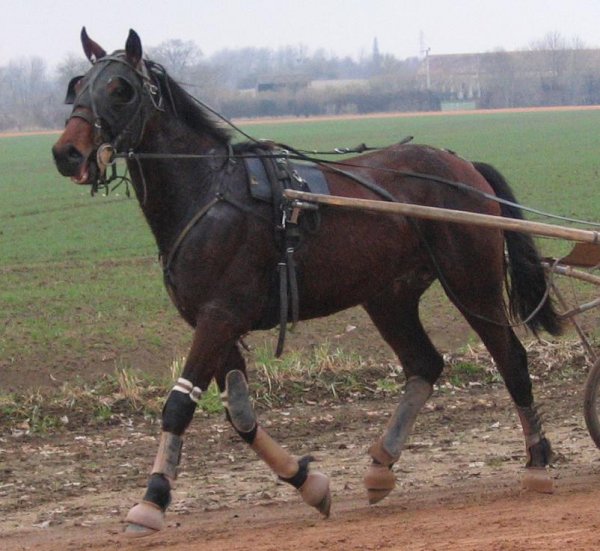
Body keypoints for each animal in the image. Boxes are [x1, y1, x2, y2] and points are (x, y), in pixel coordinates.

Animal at [51, 28, 564, 536]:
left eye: (120, 89)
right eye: (77, 86)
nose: (66, 152)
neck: (210, 192)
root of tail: (465, 167)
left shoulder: (219, 317)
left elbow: (179, 407)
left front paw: (152, 499)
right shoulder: (216, 324)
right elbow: (240, 414)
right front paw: (306, 481)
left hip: (472, 284)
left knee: (511, 360)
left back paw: (537, 461)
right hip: (389, 297)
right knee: (424, 364)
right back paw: (381, 464)